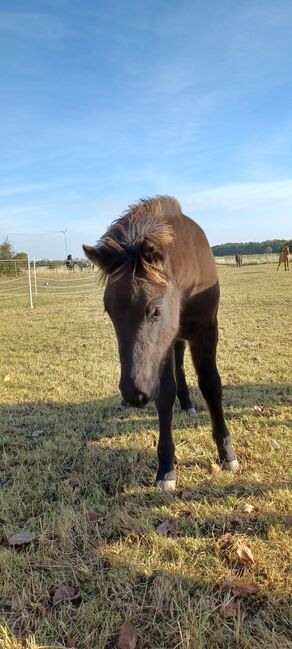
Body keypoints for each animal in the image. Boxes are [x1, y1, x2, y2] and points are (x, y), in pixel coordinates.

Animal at [83, 195, 238, 488]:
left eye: (155, 310)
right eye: (109, 311)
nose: (133, 394)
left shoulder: (207, 330)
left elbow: (211, 384)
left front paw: (227, 453)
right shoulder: (162, 349)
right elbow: (165, 394)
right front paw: (166, 467)